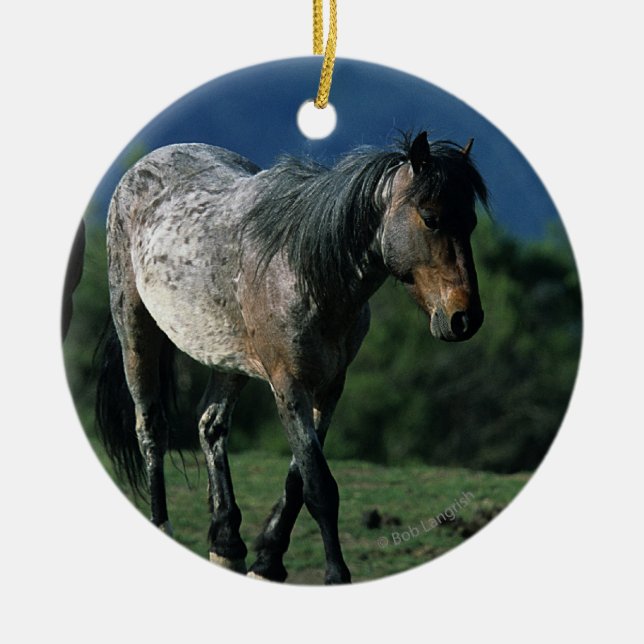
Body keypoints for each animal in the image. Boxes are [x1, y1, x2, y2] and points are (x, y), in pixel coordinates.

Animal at [95, 131, 488, 584]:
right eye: (430, 217)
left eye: (470, 223)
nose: (465, 318)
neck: (304, 268)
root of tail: (141, 168)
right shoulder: (289, 385)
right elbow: (319, 486)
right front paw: (335, 574)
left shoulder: (330, 386)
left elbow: (298, 480)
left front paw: (267, 561)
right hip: (135, 331)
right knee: (152, 429)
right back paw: (165, 526)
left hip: (229, 359)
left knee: (210, 424)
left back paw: (227, 544)